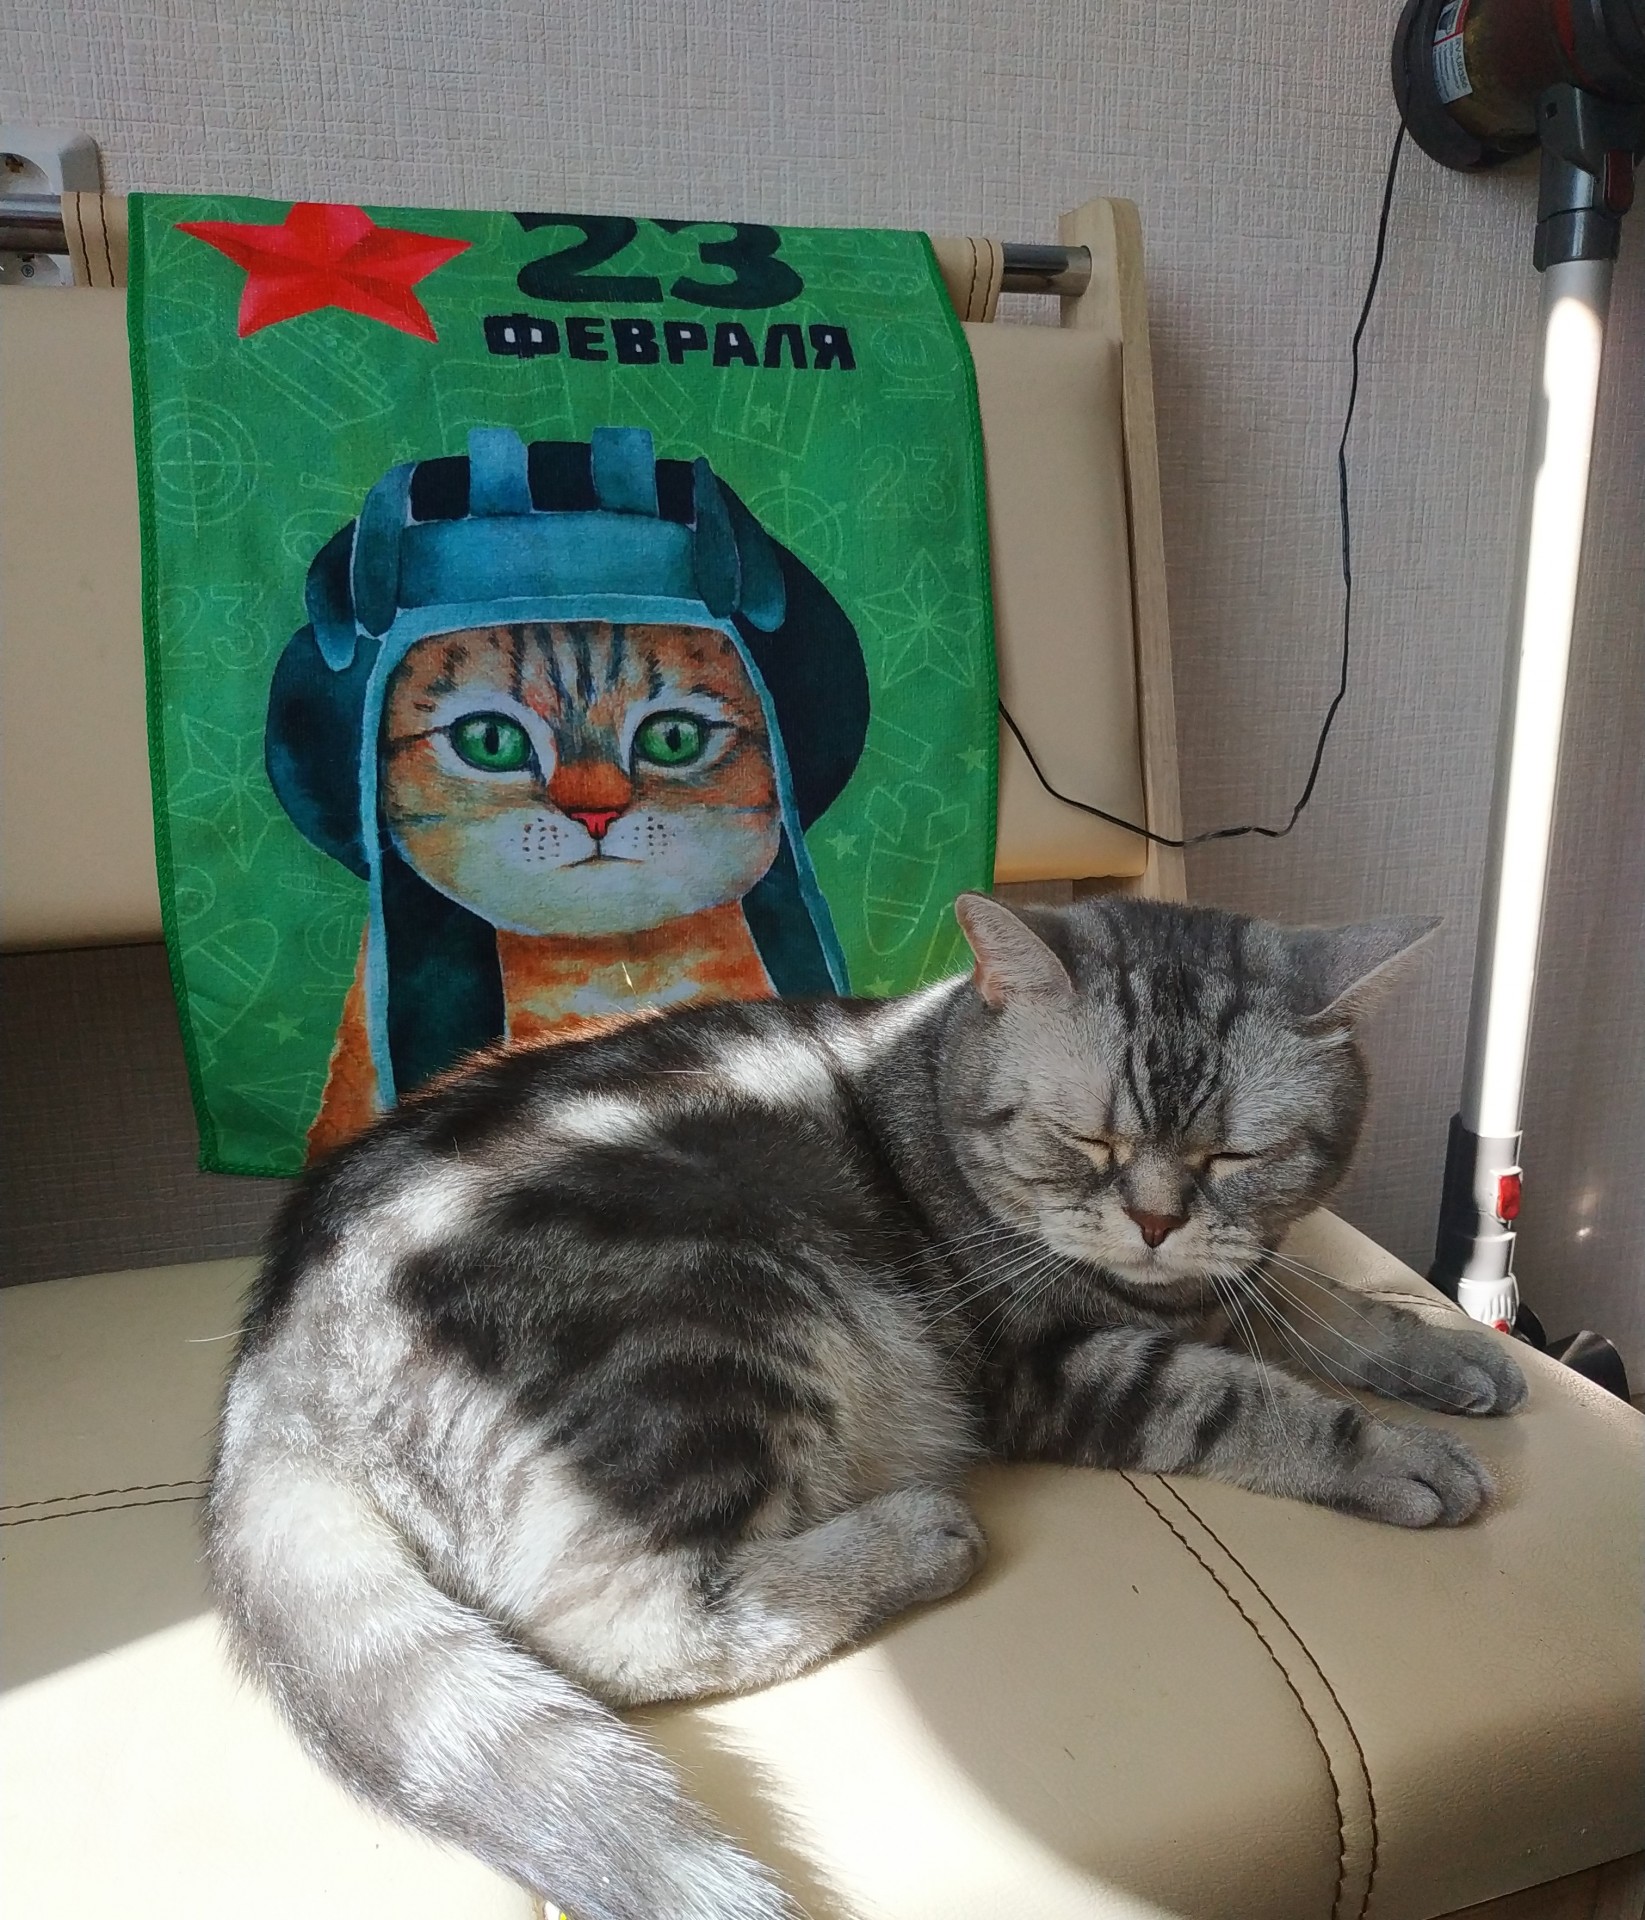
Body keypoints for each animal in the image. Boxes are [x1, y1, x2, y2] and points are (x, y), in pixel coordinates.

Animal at [208, 892, 1526, 1920]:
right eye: (1085, 1139)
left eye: (1234, 1159)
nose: (1155, 1220)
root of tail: (269, 1376)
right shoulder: (1057, 1367)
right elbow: (1250, 1395)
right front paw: (1398, 1452)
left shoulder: (1224, 1279)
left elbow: (1317, 1300)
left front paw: (1448, 1350)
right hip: (726, 1320)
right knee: (610, 1623)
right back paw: (911, 1540)